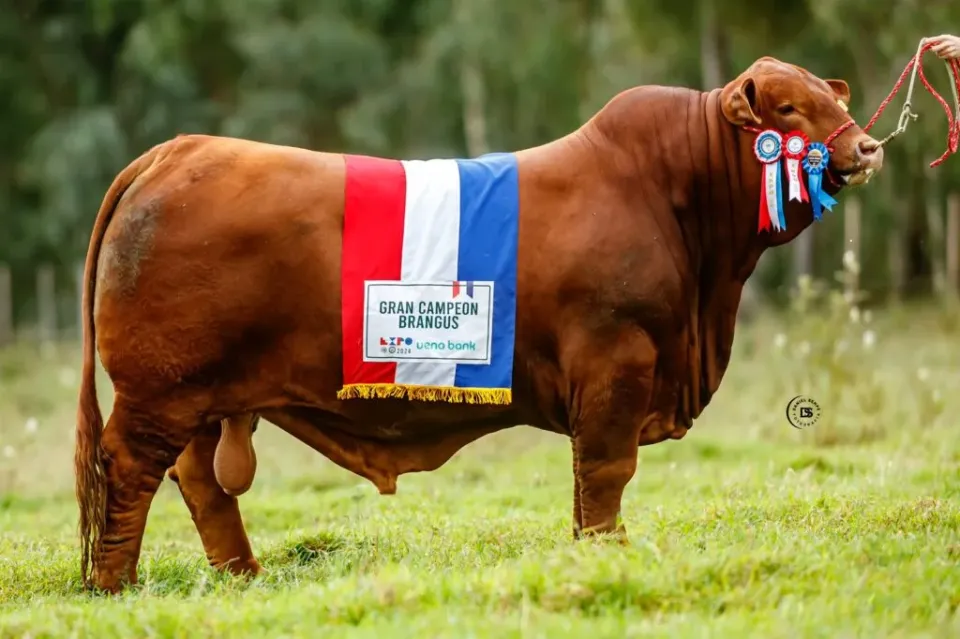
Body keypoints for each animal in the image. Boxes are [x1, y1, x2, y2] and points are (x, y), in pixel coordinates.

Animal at [73, 57, 884, 592]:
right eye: (786, 110)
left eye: (827, 96)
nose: (866, 145)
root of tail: (174, 150)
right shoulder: (616, 362)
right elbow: (606, 470)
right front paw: (607, 552)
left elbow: (586, 480)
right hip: (159, 391)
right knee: (129, 470)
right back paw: (114, 585)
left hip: (201, 395)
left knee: (201, 482)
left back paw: (244, 575)